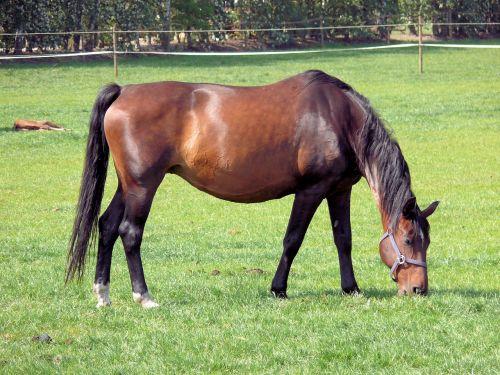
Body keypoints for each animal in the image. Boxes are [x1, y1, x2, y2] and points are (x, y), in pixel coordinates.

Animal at [65, 70, 438, 308]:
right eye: (408, 240)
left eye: (427, 241)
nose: (418, 289)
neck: (339, 119)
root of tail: (124, 91)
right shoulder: (311, 190)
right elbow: (293, 240)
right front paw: (278, 290)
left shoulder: (338, 190)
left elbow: (342, 239)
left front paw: (351, 288)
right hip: (143, 185)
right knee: (130, 233)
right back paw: (143, 296)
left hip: (127, 184)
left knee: (107, 226)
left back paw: (103, 294)